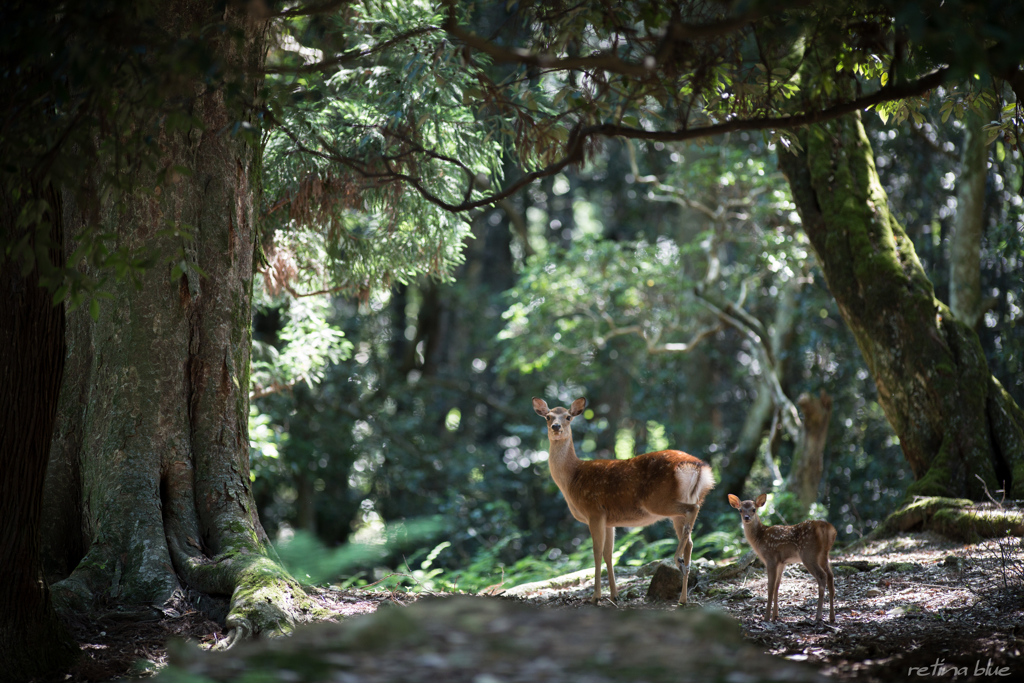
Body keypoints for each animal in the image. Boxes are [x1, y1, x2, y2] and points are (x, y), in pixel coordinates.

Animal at [536, 397, 712, 606]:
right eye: (548, 417)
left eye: (568, 417)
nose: (556, 427)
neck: (572, 478)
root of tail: (699, 467)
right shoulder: (609, 520)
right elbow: (609, 554)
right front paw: (614, 595)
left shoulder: (594, 511)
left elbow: (596, 552)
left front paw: (595, 597)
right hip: (679, 505)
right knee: (690, 541)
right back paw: (683, 597)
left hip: (658, 500)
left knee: (692, 510)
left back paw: (677, 561)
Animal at [724, 491, 835, 626]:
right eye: (740, 510)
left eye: (754, 509)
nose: (746, 517)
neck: (760, 538)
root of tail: (828, 530)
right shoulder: (782, 562)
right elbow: (777, 586)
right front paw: (775, 616)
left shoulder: (770, 558)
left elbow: (770, 587)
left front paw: (766, 617)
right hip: (823, 555)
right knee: (830, 576)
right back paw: (831, 617)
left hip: (809, 554)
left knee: (822, 576)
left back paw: (818, 617)